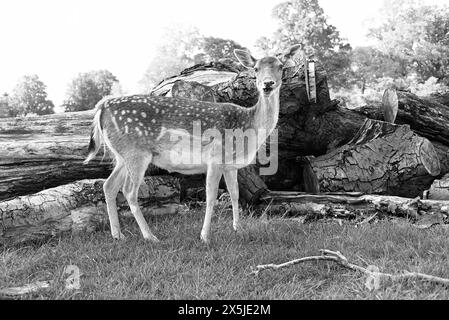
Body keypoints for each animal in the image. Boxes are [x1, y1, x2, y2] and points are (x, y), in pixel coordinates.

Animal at [83, 43, 300, 242]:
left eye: (281, 66)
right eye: (255, 68)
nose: (268, 84)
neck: (249, 126)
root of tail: (102, 107)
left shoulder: (231, 165)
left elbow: (235, 194)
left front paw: (238, 229)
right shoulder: (215, 157)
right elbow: (211, 197)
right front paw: (204, 236)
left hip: (121, 155)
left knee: (109, 186)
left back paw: (118, 234)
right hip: (135, 152)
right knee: (128, 191)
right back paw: (150, 236)